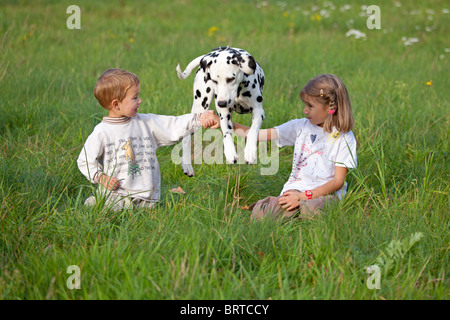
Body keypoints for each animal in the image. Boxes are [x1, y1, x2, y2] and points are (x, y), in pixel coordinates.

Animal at [176, 46, 264, 176]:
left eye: (231, 79)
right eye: (214, 80)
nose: (221, 103)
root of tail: (207, 55)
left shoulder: (259, 112)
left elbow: (252, 130)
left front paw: (250, 151)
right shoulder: (224, 114)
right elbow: (226, 132)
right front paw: (230, 152)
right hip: (200, 107)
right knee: (186, 138)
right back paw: (187, 165)